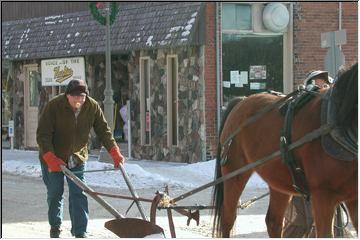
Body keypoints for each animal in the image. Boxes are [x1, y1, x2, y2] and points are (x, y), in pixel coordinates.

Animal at [212, 62, 358, 237]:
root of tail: (242, 101)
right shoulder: (323, 196)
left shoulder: (353, 199)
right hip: (234, 174)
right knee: (228, 218)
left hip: (277, 179)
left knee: (273, 221)